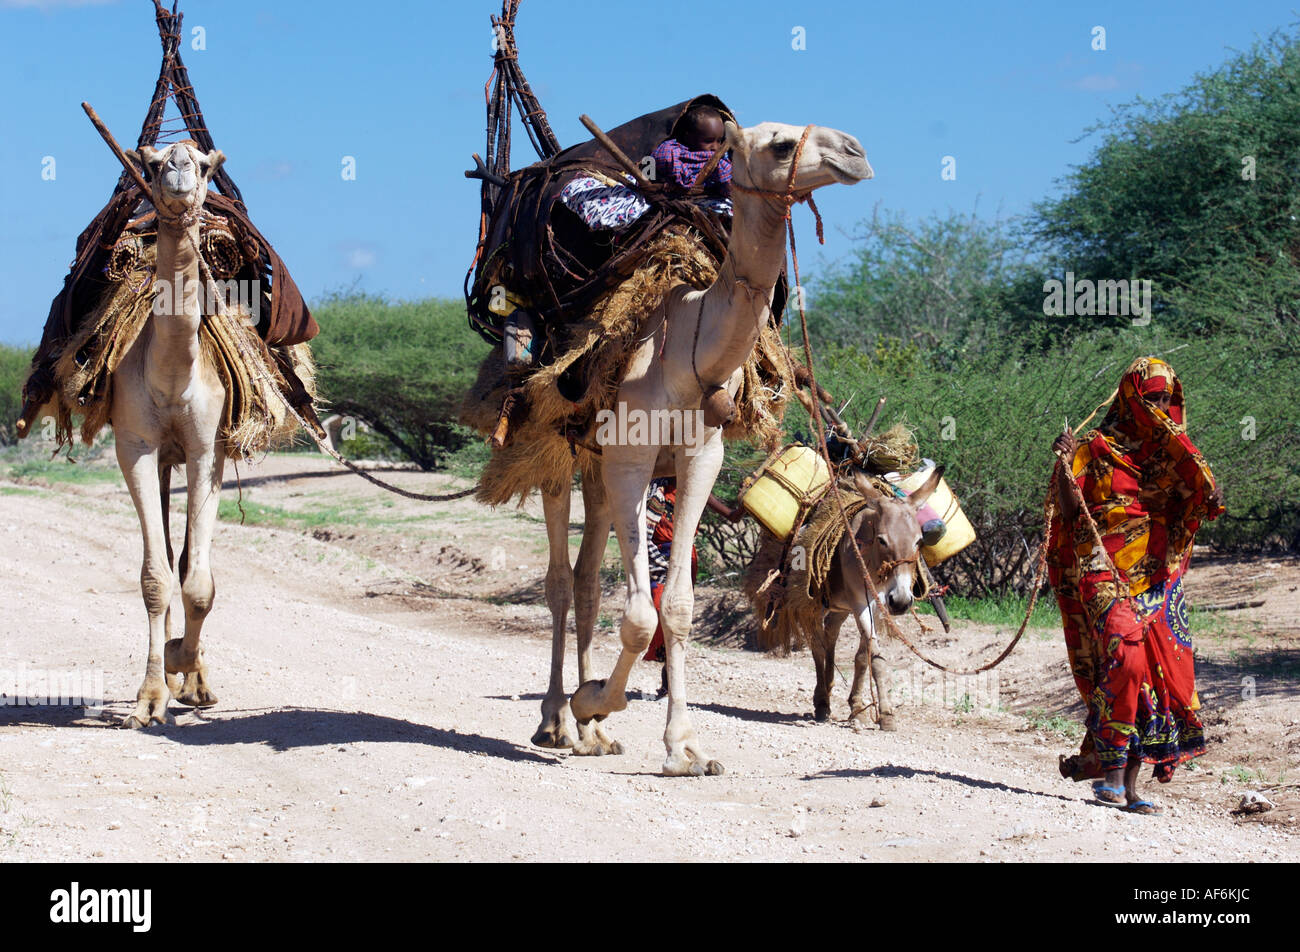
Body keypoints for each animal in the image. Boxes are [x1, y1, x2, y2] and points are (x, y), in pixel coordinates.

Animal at [527, 120, 873, 775]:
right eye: (780, 144)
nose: (857, 152)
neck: (686, 348)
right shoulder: (633, 457)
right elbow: (640, 616)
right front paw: (594, 702)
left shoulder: (697, 457)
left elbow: (677, 607)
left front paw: (683, 747)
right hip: (553, 449)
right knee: (559, 579)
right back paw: (557, 718)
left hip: (598, 468)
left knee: (585, 581)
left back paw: (592, 734)